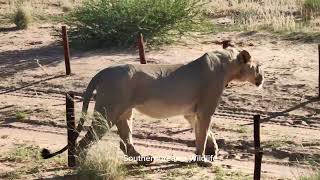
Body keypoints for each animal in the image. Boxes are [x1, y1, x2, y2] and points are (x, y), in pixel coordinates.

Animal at [40, 47, 264, 167]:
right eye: (259, 66)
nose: (262, 77)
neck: (228, 65)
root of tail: (102, 71)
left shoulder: (191, 112)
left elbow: (204, 132)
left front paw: (213, 150)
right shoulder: (205, 108)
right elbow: (203, 133)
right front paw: (202, 159)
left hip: (124, 112)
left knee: (125, 142)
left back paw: (144, 160)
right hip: (108, 111)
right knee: (84, 142)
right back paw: (82, 165)